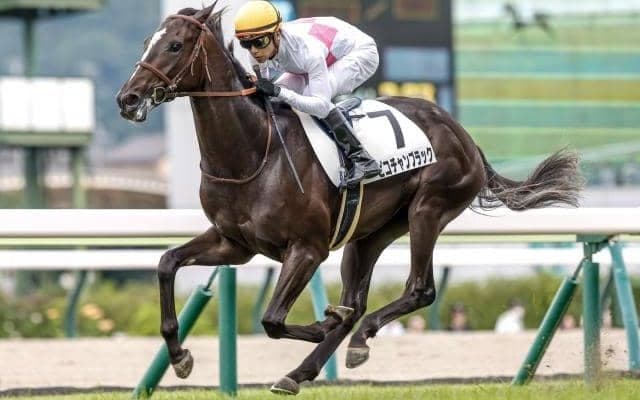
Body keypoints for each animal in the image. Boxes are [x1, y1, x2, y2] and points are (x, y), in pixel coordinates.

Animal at [116, 3, 581, 395]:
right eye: (148, 43)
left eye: (175, 45)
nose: (128, 98)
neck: (254, 152)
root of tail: (461, 133)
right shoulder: (234, 243)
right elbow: (167, 263)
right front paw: (180, 357)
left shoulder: (307, 248)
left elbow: (273, 319)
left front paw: (325, 323)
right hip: (368, 235)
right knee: (358, 302)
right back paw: (302, 369)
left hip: (427, 209)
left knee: (419, 290)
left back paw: (354, 339)